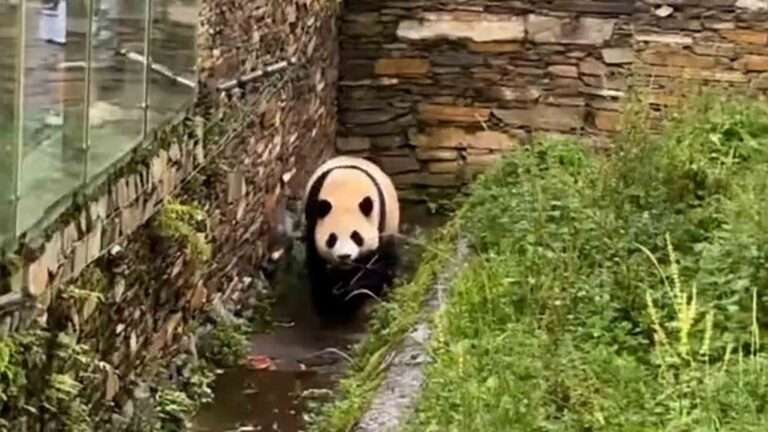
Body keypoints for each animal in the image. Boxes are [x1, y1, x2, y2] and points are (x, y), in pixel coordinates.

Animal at [304, 155, 402, 318]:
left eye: (356, 236)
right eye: (332, 238)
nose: (344, 256)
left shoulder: (379, 222)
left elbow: (372, 265)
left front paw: (353, 293)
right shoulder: (313, 216)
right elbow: (317, 266)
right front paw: (330, 304)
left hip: (391, 224)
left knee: (388, 259)